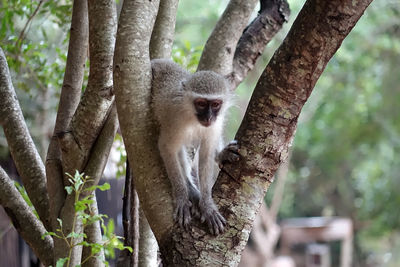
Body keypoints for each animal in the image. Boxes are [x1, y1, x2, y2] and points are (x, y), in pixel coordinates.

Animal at [151, 59, 239, 237]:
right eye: (201, 104)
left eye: (216, 104)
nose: (208, 117)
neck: (191, 116)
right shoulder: (174, 119)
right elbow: (166, 148)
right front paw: (182, 197)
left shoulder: (214, 124)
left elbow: (206, 153)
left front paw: (207, 206)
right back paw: (190, 190)